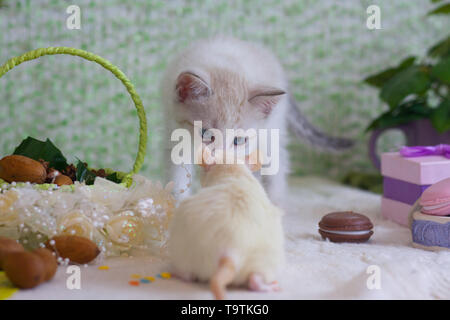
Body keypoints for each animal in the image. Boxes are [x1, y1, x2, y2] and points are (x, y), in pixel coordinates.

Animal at [162, 36, 352, 204]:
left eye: (239, 140)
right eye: (206, 134)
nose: (218, 158)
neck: (227, 66)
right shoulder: (174, 131)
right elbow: (177, 176)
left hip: (272, 129)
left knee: (278, 159)